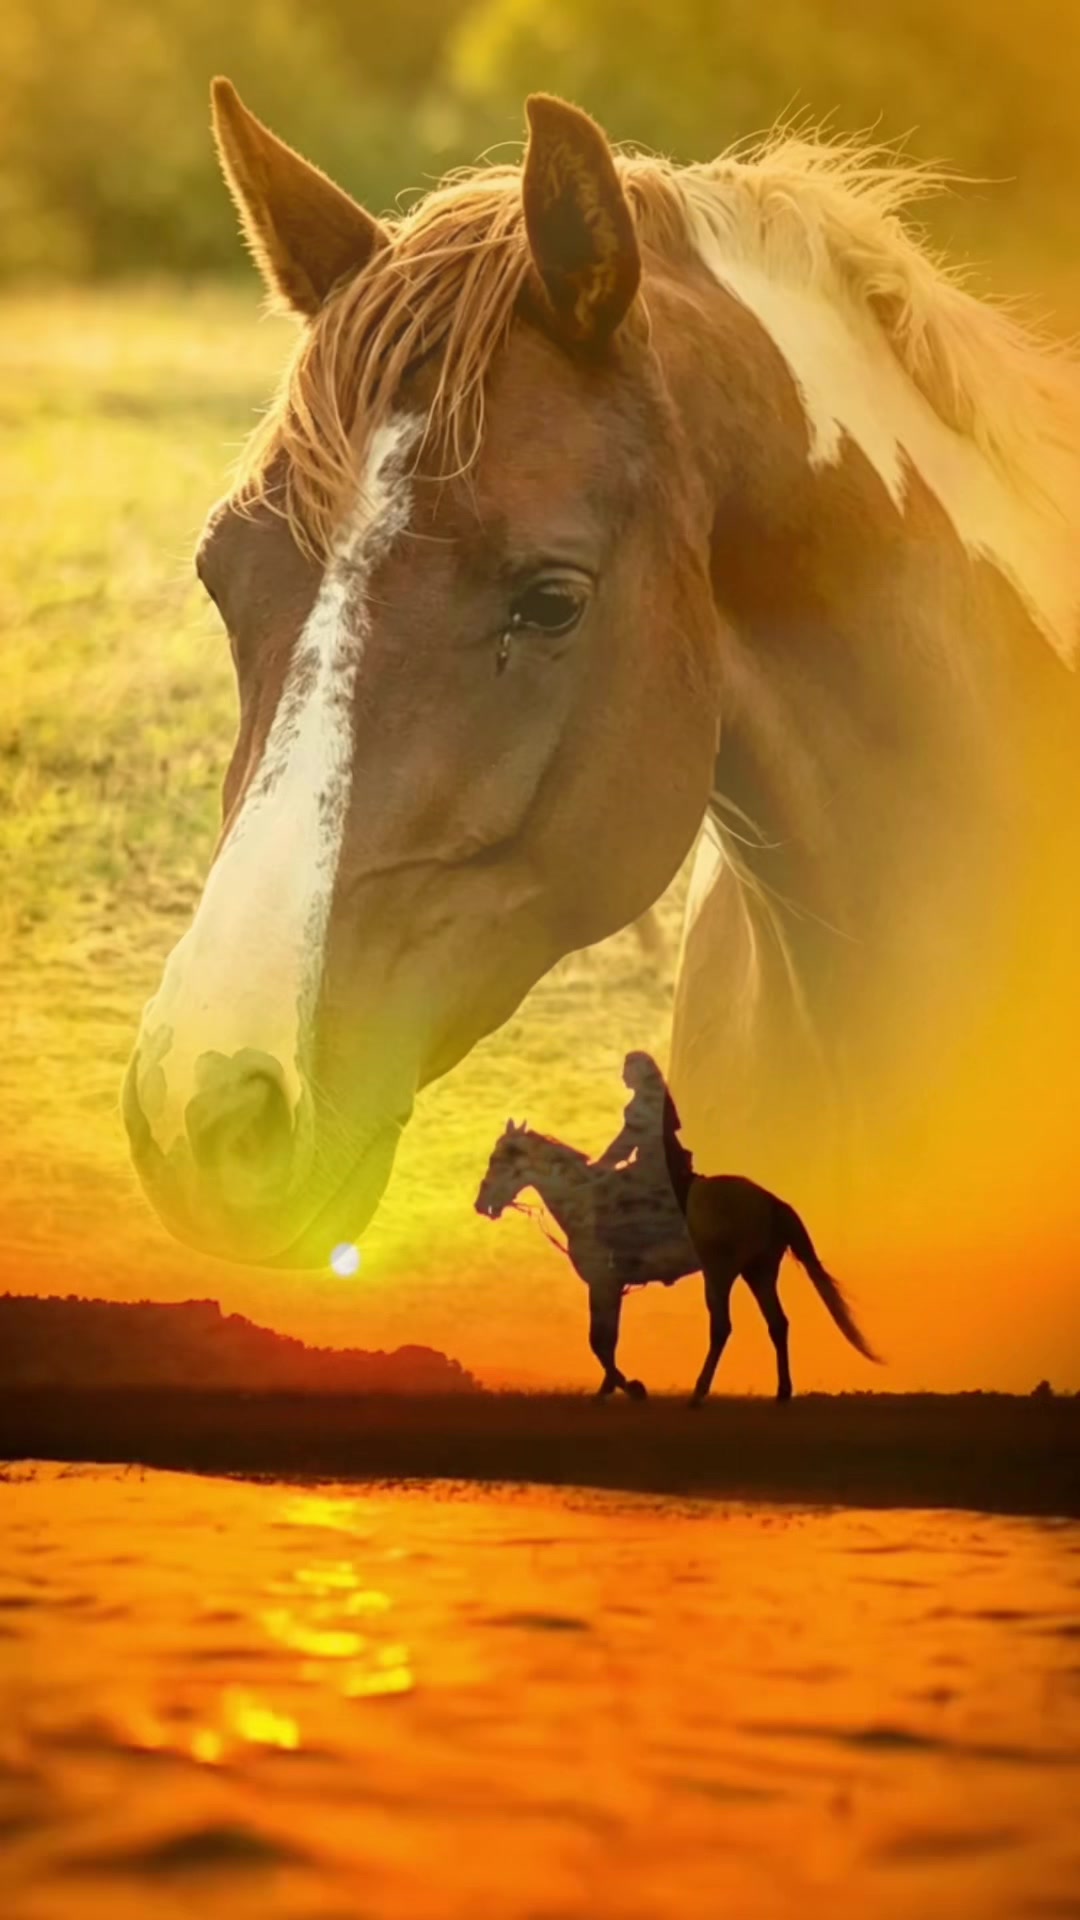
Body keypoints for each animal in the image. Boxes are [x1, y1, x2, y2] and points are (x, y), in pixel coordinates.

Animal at [475, 1121, 879, 1401]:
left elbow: (599, 1342)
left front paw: (632, 1388)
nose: (482, 1204)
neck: (584, 1201)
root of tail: (769, 1200)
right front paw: (608, 1390)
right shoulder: (610, 1286)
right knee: (777, 1324)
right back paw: (781, 1393)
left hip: (720, 1273)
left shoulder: (602, 1283)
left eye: (497, 1159)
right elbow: (607, 1339)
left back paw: (699, 1393)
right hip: (759, 1272)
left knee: (722, 1327)